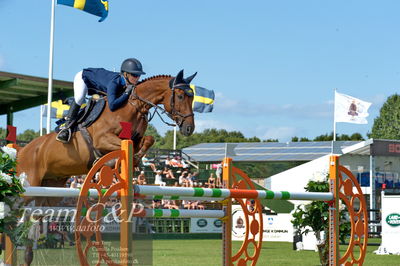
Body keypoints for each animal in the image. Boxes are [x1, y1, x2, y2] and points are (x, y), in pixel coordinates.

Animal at [16, 69, 196, 188]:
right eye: (181, 96)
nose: (189, 128)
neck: (135, 106)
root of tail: (21, 151)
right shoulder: (102, 140)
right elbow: (127, 149)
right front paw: (124, 162)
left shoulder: (136, 138)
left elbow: (148, 141)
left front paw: (134, 161)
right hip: (31, 179)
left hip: (53, 181)